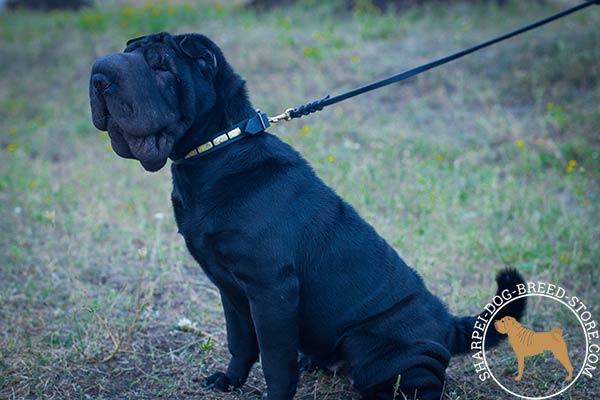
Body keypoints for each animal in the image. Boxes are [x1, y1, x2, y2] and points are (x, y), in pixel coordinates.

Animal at [89, 32, 524, 400]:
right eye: (130, 51)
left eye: (161, 65)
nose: (99, 74)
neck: (215, 154)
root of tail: (446, 321)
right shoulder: (231, 290)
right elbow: (240, 342)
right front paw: (228, 381)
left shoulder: (272, 289)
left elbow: (274, 360)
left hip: (378, 349)